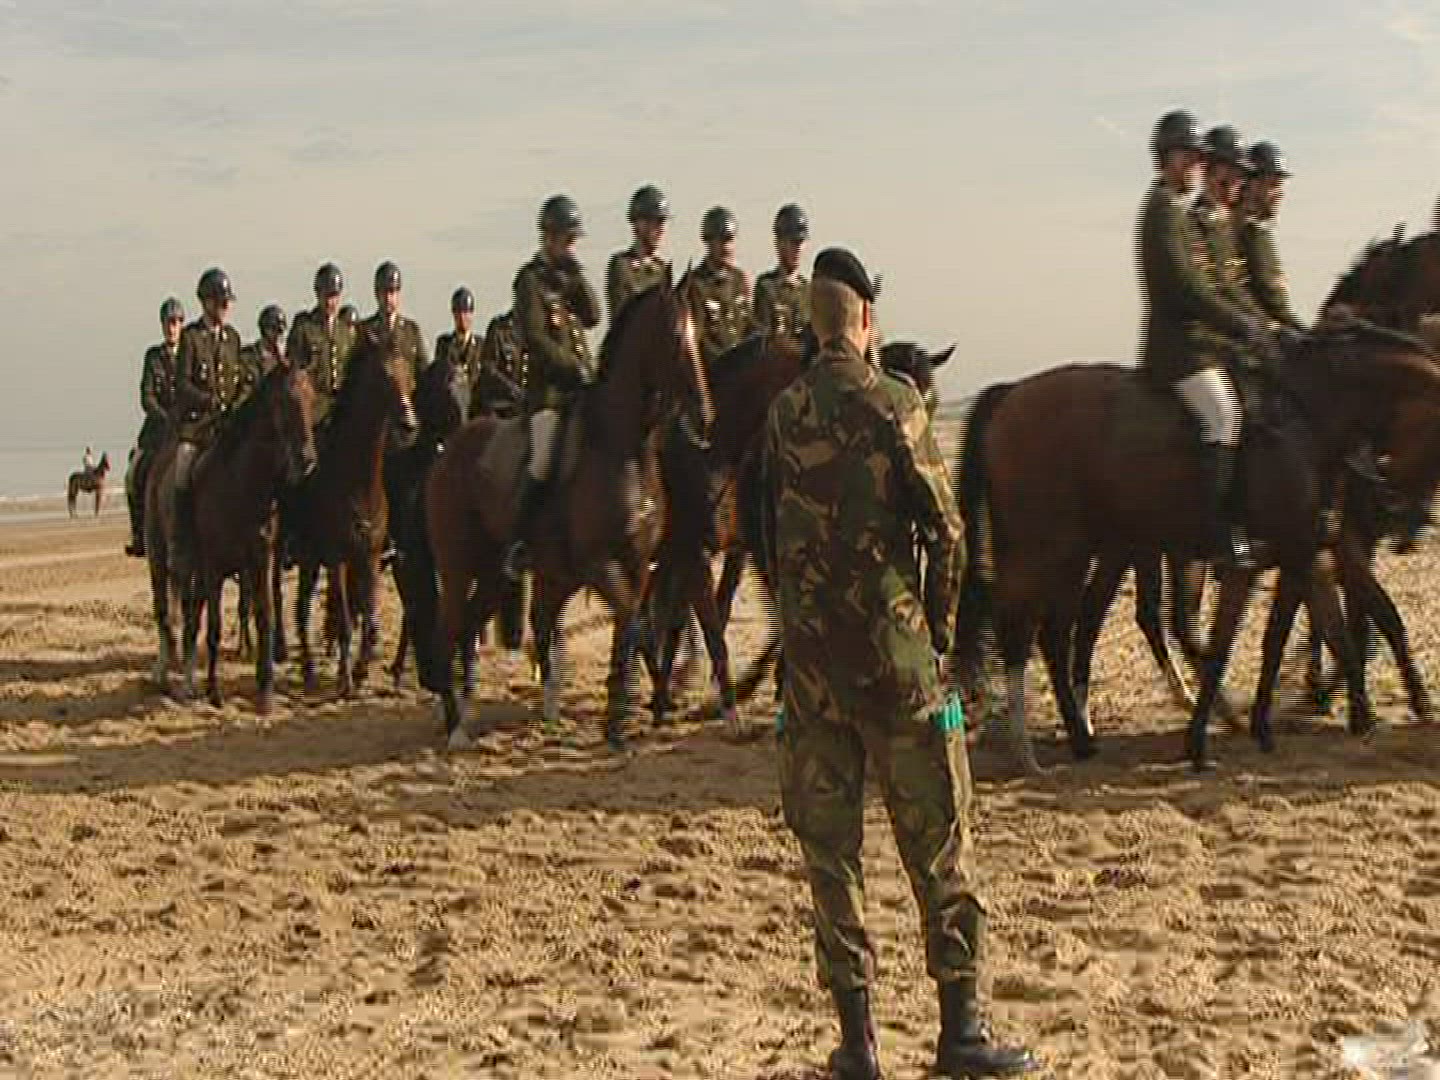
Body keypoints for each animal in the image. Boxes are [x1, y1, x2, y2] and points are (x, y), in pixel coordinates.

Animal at [142, 365, 315, 710]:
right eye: (285, 404)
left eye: (312, 399)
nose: (307, 459)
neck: (242, 483)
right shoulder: (214, 566)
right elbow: (214, 626)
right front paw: (214, 691)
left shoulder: (260, 561)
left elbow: (264, 617)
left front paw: (265, 691)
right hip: (160, 557)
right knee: (165, 610)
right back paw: (165, 672)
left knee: (189, 617)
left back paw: (187, 681)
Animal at [287, 328, 418, 698]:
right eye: (384, 377)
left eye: (409, 374)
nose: (409, 425)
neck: (356, 482)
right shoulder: (336, 558)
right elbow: (346, 620)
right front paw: (346, 680)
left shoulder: (369, 557)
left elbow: (370, 619)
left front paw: (360, 670)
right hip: (307, 559)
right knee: (302, 610)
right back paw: (309, 669)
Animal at [425, 278, 711, 750]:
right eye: (673, 338)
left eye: (698, 335)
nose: (706, 418)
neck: (624, 448)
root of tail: (450, 450)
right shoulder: (602, 566)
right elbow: (633, 623)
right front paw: (623, 715)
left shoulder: (637, 566)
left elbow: (637, 627)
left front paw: (641, 707)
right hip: (458, 567)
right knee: (448, 629)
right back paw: (454, 727)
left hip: (495, 573)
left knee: (469, 627)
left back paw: (471, 713)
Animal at [953, 328, 1440, 774]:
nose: (1397, 513)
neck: (1307, 421)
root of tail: (1010, 392)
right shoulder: (1287, 556)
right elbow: (1269, 638)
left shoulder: (1298, 554)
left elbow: (1281, 637)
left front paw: (1266, 726)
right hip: (1047, 546)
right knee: (1020, 626)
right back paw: (1026, 751)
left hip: (1083, 551)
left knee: (1060, 631)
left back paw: (1081, 738)